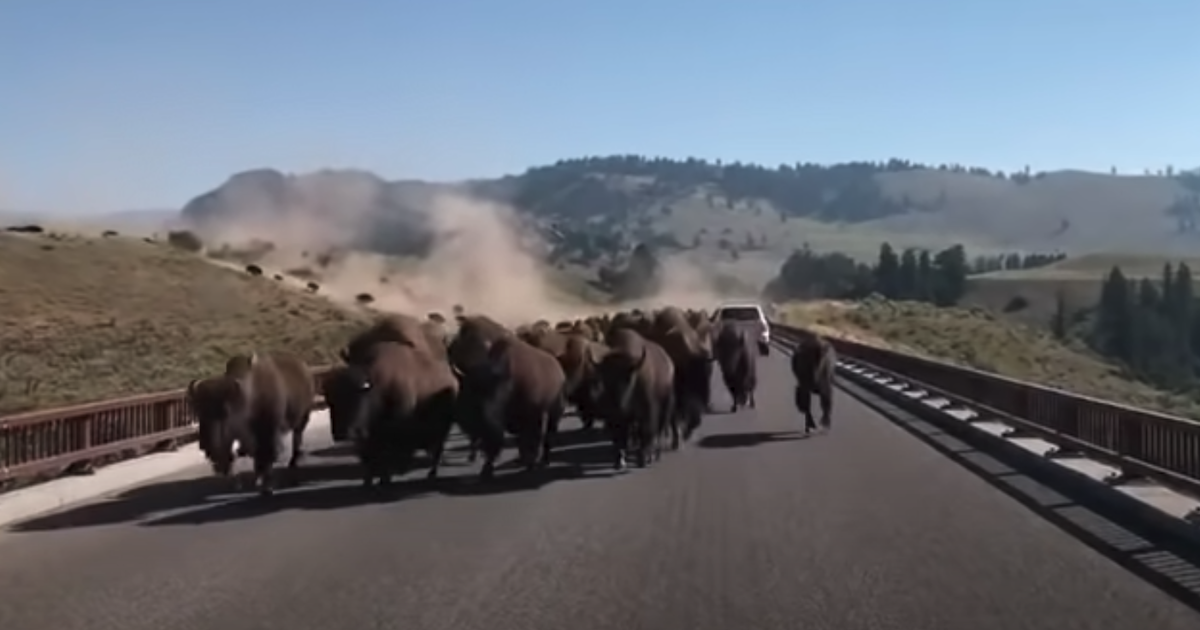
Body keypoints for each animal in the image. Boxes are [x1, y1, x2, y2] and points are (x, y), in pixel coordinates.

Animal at [184, 350, 316, 494]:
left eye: (225, 412)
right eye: (199, 412)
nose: (205, 445)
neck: (247, 398)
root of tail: (304, 367)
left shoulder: (268, 434)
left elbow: (266, 457)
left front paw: (267, 486)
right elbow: (256, 459)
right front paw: (259, 480)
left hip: (303, 418)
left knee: (297, 438)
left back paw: (293, 462)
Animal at [324, 340, 458, 484]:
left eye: (357, 396)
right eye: (330, 400)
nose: (341, 433)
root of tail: (452, 377)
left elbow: (385, 457)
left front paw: (384, 479)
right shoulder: (368, 440)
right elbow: (369, 459)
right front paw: (368, 482)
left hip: (440, 429)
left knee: (437, 449)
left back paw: (432, 473)